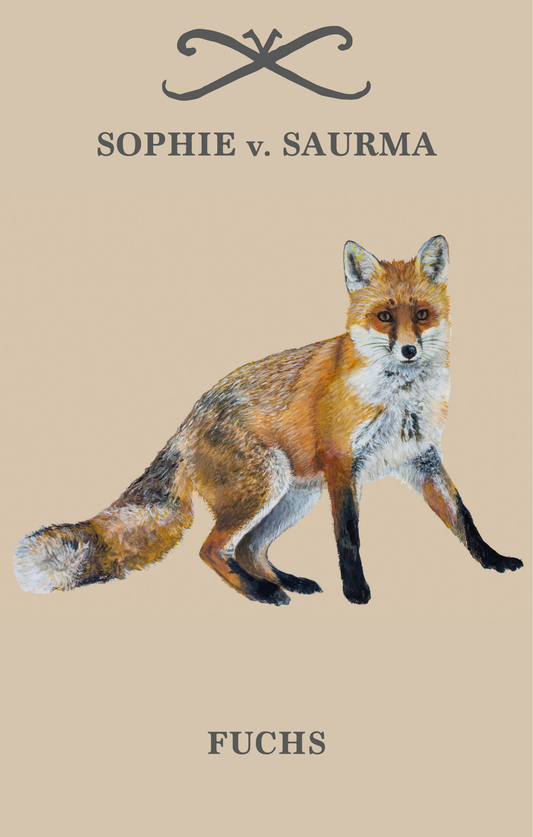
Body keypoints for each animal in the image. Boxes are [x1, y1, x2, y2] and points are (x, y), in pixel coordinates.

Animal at [14, 235, 523, 604]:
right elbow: (349, 539)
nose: (410, 350)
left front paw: (493, 560)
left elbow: (465, 518)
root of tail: (186, 423)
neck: (400, 397)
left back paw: (286, 582)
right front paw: (356, 592)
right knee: (212, 549)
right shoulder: (344, 465)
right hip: (268, 484)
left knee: (247, 548)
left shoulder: (422, 459)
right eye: (383, 317)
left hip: (294, 495)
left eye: (421, 314)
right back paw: (262, 593)